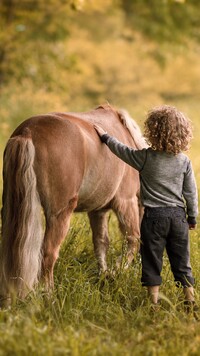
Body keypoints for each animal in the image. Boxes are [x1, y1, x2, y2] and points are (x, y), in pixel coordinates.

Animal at [0, 103, 147, 304]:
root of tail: (28, 132)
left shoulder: (98, 211)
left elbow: (101, 243)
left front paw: (104, 275)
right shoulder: (126, 202)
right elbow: (132, 239)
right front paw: (115, 272)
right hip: (59, 214)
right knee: (48, 253)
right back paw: (49, 295)